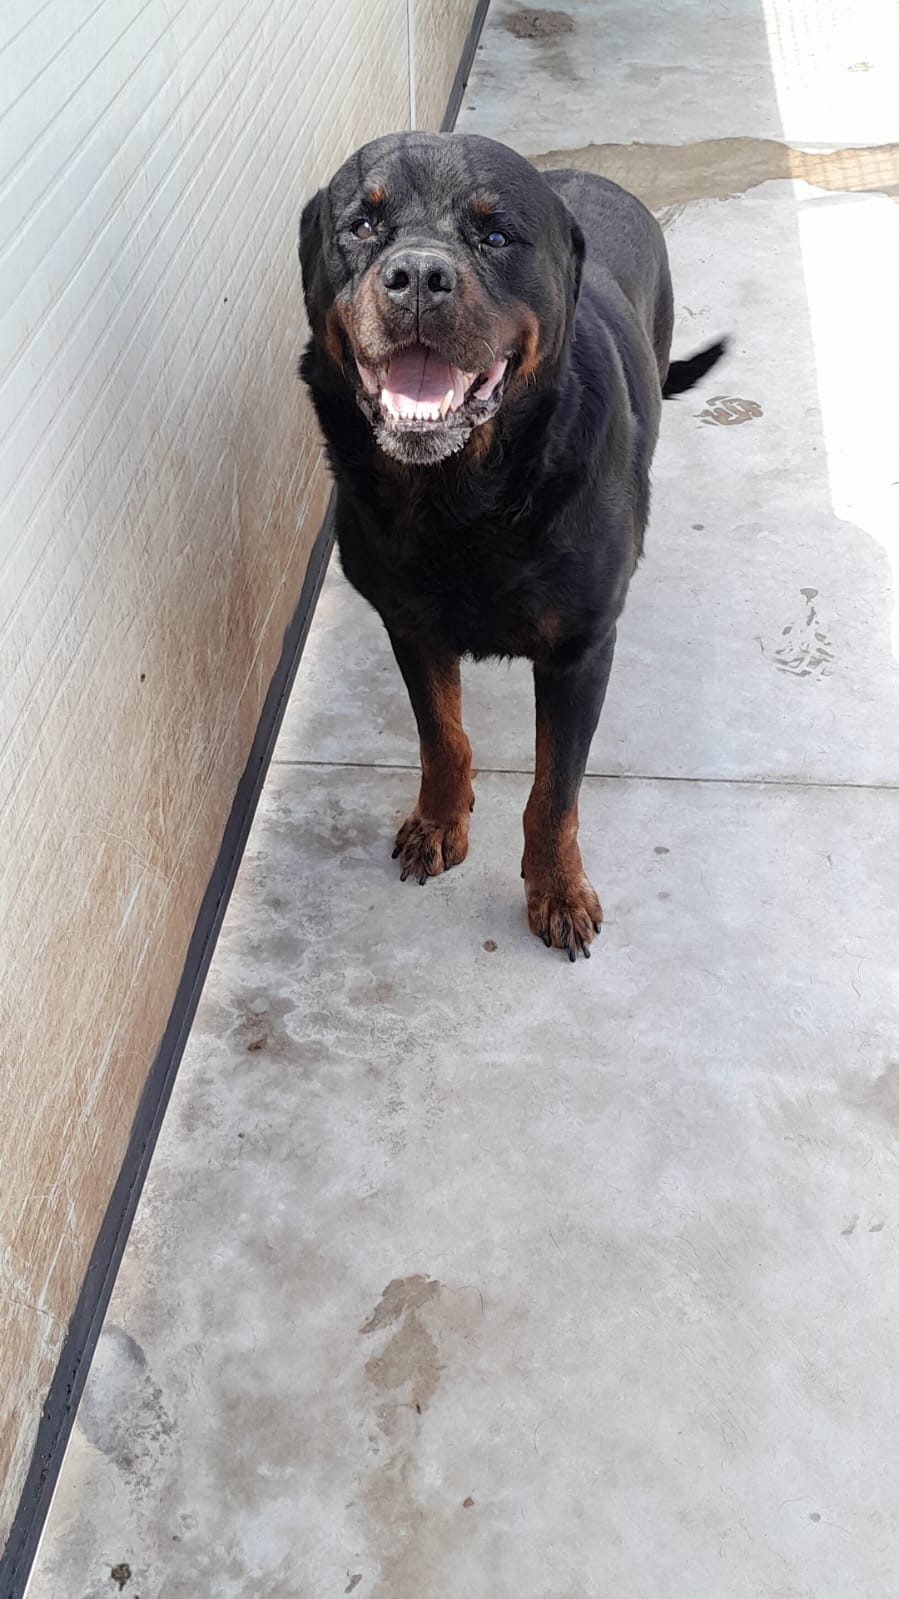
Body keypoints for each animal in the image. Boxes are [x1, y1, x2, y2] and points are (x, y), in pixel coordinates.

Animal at [299, 132, 724, 959]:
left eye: (494, 237)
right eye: (361, 226)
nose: (417, 278)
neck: (464, 495)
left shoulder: (579, 651)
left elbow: (553, 789)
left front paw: (556, 889)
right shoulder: (410, 622)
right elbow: (442, 737)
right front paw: (439, 821)